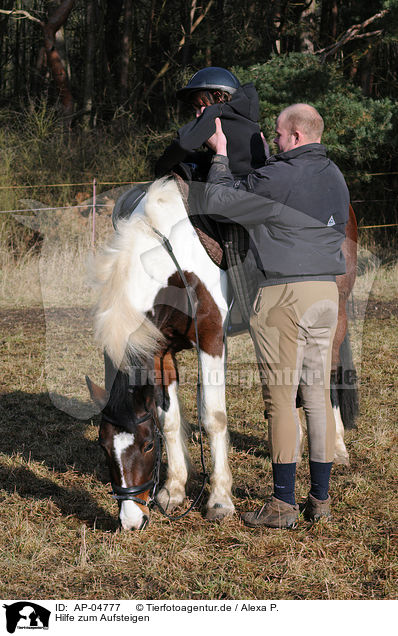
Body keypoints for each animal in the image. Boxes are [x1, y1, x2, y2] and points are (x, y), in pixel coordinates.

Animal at [86, 176, 358, 528]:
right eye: (104, 447)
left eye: (147, 446)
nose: (132, 521)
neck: (174, 263)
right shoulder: (159, 352)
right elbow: (169, 419)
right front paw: (174, 490)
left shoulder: (212, 340)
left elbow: (213, 417)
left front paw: (219, 500)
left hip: (332, 318)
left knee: (330, 378)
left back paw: (336, 447)